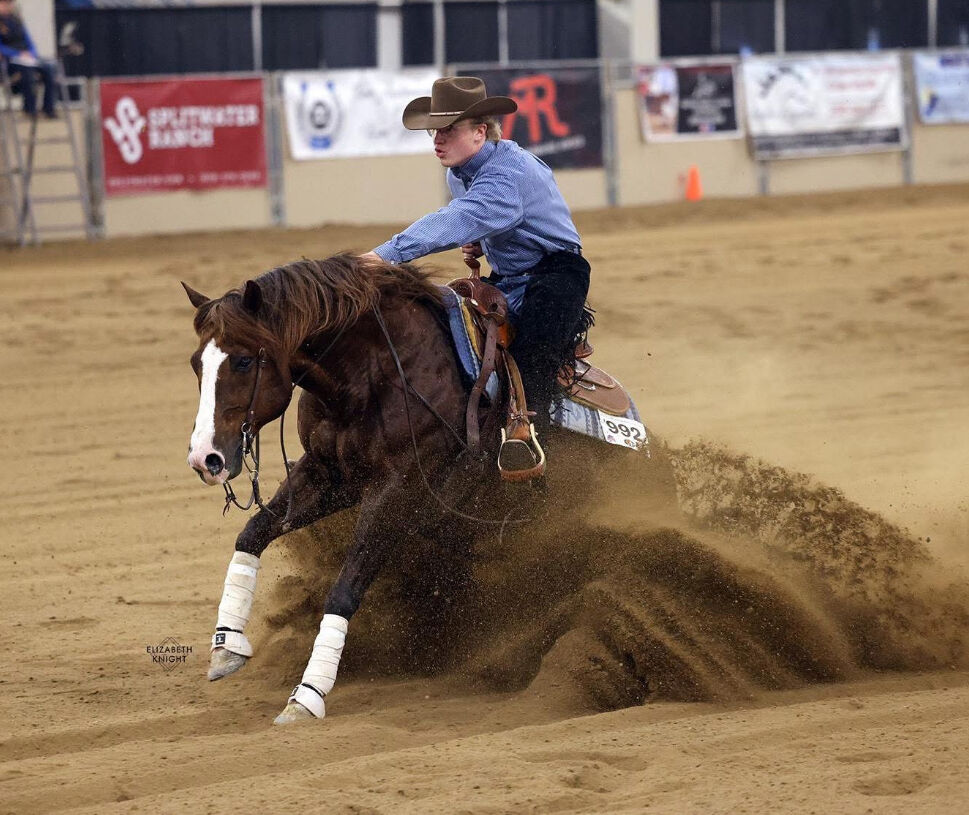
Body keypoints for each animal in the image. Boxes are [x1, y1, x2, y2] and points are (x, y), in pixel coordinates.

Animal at [183, 253, 673, 724]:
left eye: (244, 360)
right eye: (195, 363)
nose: (205, 458)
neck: (374, 372)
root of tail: (642, 440)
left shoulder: (398, 490)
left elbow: (345, 587)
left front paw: (308, 695)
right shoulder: (328, 474)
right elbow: (253, 533)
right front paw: (227, 646)